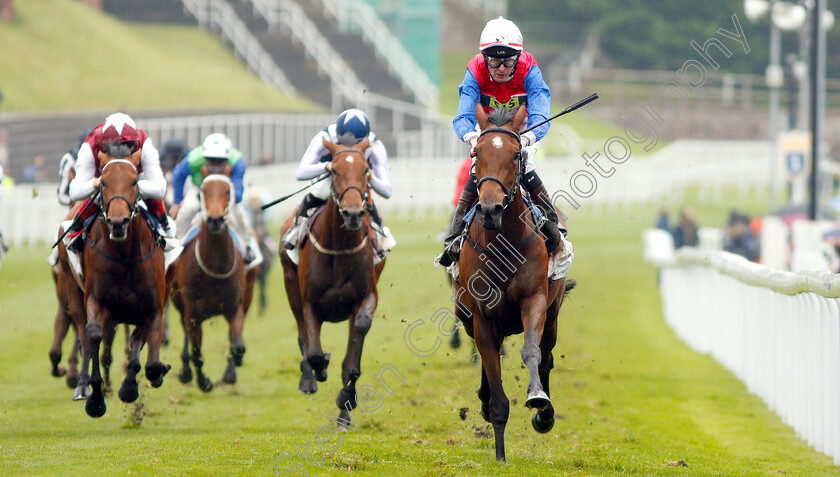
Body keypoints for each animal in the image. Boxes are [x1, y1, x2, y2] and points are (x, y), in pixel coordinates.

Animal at [69, 149, 173, 416]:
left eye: (135, 182)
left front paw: (133, 385)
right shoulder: (96, 300)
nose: (118, 222)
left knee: (137, 340)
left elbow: (152, 364)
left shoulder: (154, 307)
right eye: (103, 183)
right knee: (87, 336)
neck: (125, 255)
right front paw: (96, 399)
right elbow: (94, 334)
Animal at [169, 165, 258, 390]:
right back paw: (186, 371)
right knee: (185, 333)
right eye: (203, 191)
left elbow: (237, 345)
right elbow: (197, 352)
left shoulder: (234, 306)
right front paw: (204, 381)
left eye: (227, 191)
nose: (215, 220)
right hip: (177, 299)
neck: (215, 266)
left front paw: (232, 369)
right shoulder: (192, 312)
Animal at [282, 135, 388, 428]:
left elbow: (353, 357)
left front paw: (345, 400)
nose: (352, 214)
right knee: (302, 337)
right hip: (290, 287)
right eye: (335, 171)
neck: (339, 248)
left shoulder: (366, 297)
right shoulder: (310, 302)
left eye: (366, 170)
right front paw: (318, 370)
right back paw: (309, 378)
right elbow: (314, 351)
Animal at [452, 106, 576, 460]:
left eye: (516, 154)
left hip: (554, 315)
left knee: (547, 355)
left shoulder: (534, 301)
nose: (490, 209)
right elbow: (493, 377)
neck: (502, 242)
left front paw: (538, 400)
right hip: (466, 315)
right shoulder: (481, 316)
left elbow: (531, 352)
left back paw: (545, 415)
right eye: (476, 154)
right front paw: (500, 453)